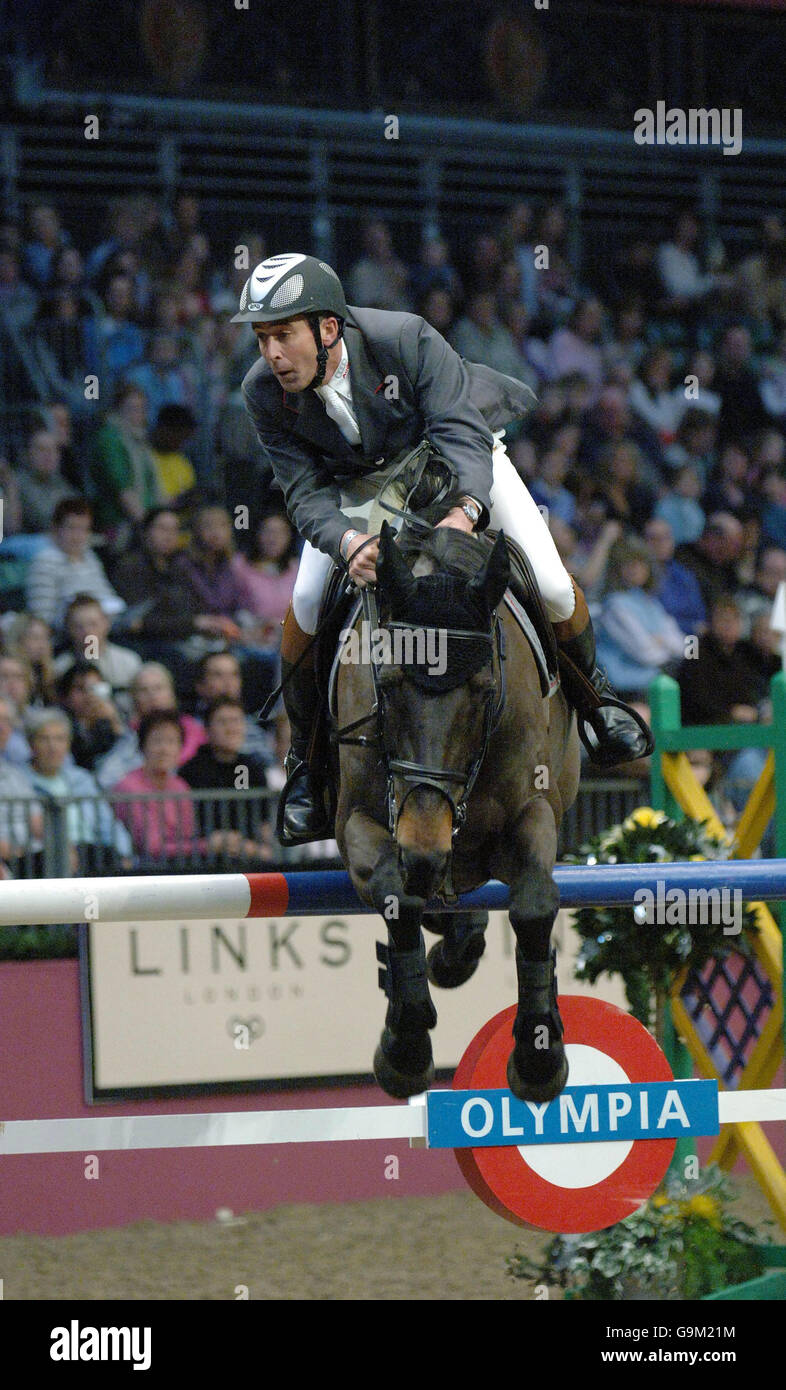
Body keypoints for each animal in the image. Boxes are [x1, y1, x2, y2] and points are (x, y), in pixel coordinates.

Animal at [328, 517, 578, 1100]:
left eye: (485, 690)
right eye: (387, 684)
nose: (426, 843)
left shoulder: (533, 809)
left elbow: (535, 904)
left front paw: (539, 1058)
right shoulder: (356, 822)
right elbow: (399, 896)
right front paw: (405, 1048)